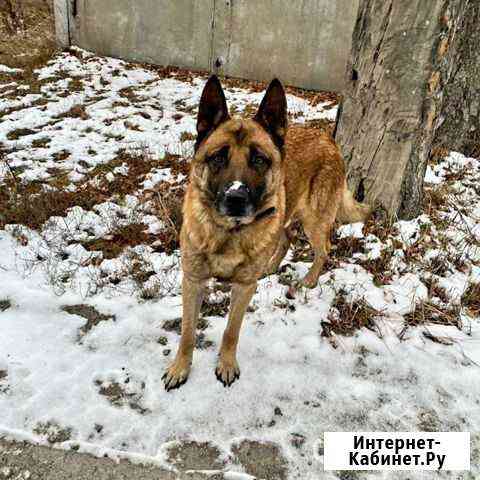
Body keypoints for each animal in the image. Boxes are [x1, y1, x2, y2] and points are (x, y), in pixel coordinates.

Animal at [162, 76, 372, 390]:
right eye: (217, 158)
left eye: (259, 160)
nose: (235, 198)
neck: (229, 233)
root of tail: (327, 138)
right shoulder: (193, 281)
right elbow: (187, 333)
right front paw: (180, 368)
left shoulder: (242, 288)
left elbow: (231, 331)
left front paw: (226, 364)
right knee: (286, 239)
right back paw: (270, 266)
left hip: (313, 220)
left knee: (323, 249)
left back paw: (309, 280)